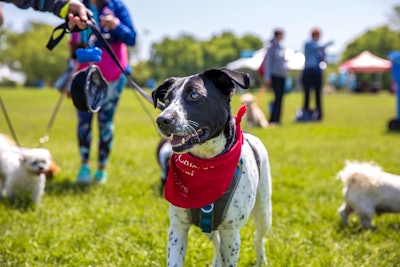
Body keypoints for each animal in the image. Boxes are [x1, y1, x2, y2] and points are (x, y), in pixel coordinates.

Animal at [152, 68, 272, 266]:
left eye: (194, 95)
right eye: (167, 100)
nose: (162, 120)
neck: (207, 165)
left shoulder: (231, 233)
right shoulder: (177, 228)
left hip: (264, 211)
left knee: (258, 237)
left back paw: (262, 261)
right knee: (216, 243)